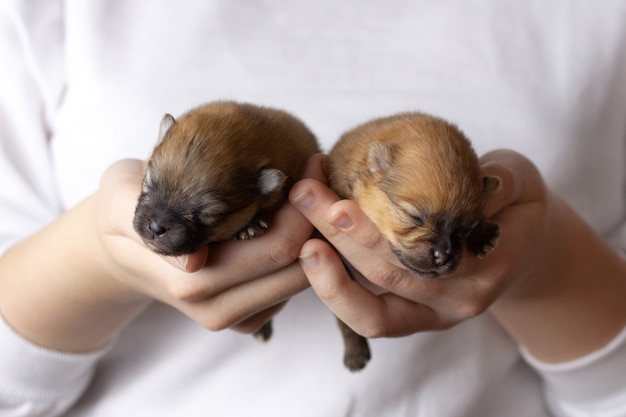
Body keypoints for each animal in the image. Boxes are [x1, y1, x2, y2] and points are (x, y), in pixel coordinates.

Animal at [324, 111, 500, 368]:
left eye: (465, 229)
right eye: (414, 216)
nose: (443, 257)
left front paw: (484, 235)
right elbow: (343, 321)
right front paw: (355, 351)